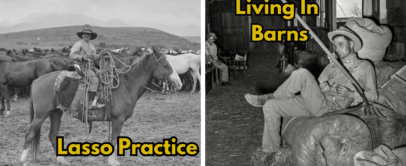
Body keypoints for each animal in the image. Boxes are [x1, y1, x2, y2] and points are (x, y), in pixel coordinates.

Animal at [20, 45, 182, 166]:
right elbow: (115, 140)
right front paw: (112, 162)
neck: (126, 85)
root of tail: (37, 80)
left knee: (52, 134)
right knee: (30, 134)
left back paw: (62, 160)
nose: (179, 83)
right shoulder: (117, 120)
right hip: (41, 114)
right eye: (166, 64)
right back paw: (24, 161)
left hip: (56, 112)